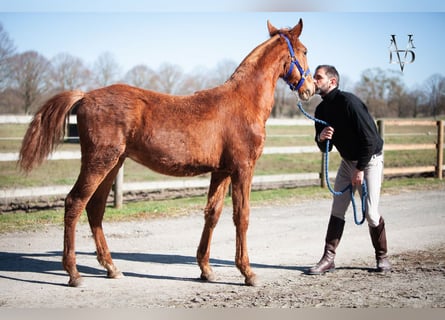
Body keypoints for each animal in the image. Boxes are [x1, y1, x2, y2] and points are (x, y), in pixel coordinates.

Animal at [19, 18, 314, 286]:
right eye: (305, 50)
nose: (310, 88)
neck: (242, 102)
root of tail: (85, 96)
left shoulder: (221, 171)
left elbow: (212, 213)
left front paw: (206, 270)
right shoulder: (243, 168)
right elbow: (241, 216)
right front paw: (248, 273)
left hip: (113, 164)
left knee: (95, 208)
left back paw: (111, 268)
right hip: (99, 162)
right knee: (75, 203)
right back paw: (74, 273)